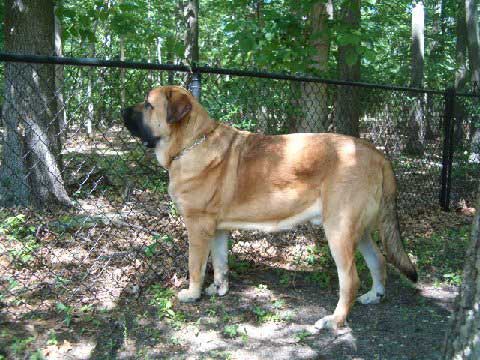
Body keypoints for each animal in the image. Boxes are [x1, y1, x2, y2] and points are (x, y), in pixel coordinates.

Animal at [123, 86, 416, 330]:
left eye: (148, 104)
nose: (122, 111)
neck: (192, 143)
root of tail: (378, 154)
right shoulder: (218, 230)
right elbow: (220, 263)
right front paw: (219, 289)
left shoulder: (198, 227)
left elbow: (195, 266)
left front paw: (192, 294)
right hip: (359, 230)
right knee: (378, 261)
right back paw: (374, 295)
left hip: (339, 231)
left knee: (350, 280)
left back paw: (335, 320)